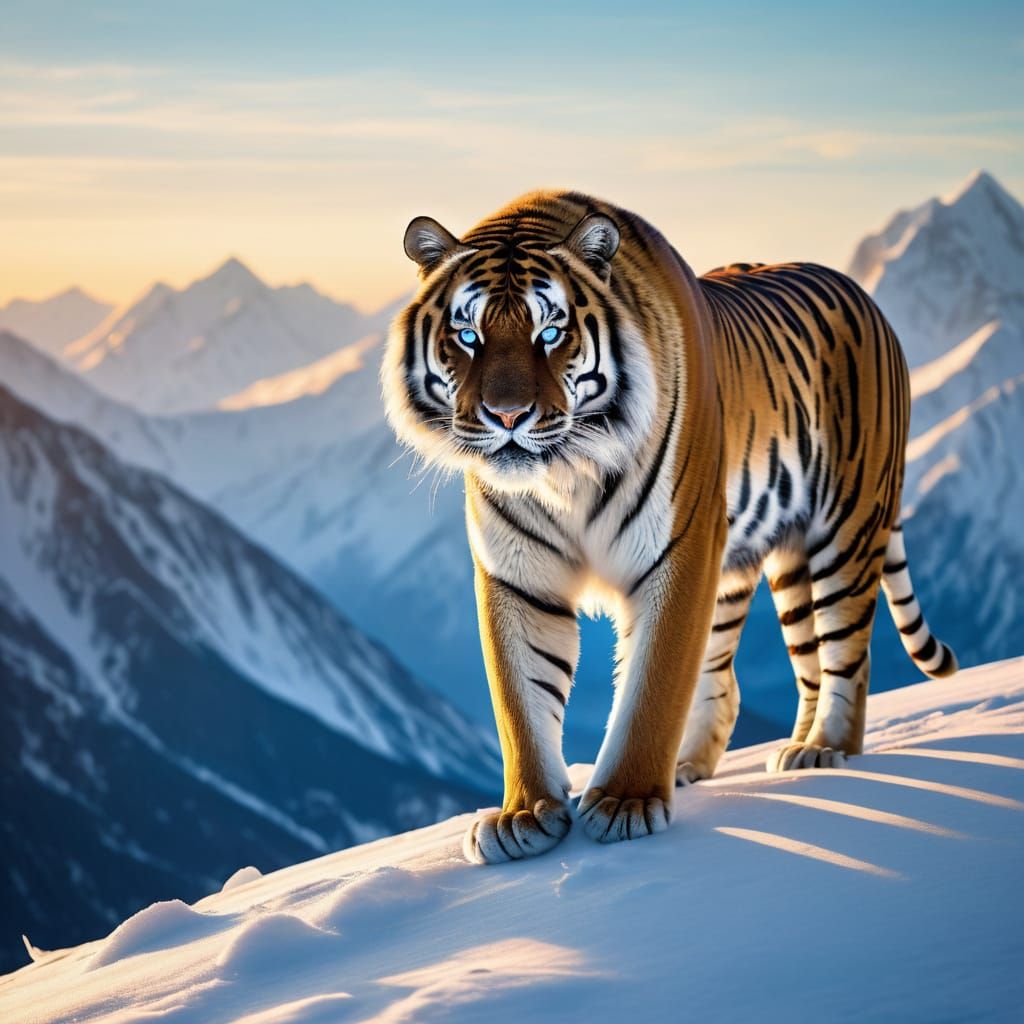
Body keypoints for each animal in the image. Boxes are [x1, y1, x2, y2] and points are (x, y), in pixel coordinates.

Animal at [382, 189, 957, 865]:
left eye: (550, 332)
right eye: (467, 335)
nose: (507, 415)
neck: (565, 474)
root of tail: (863, 294)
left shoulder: (679, 550)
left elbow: (653, 684)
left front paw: (624, 802)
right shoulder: (517, 577)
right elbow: (520, 696)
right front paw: (524, 815)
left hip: (845, 528)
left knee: (846, 652)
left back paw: (825, 748)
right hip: (778, 559)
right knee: (775, 667)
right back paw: (731, 759)